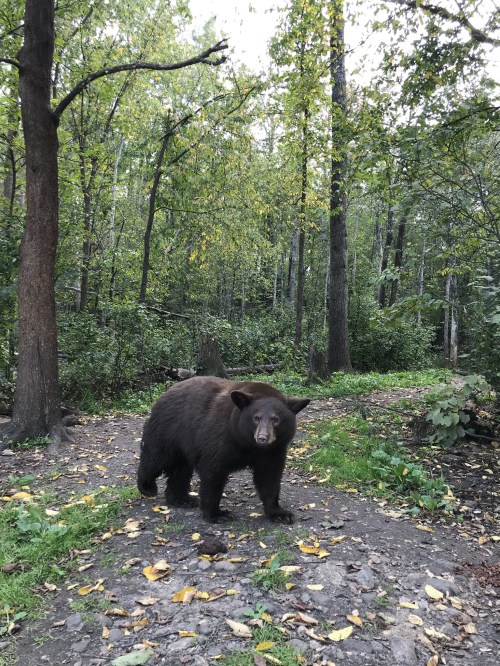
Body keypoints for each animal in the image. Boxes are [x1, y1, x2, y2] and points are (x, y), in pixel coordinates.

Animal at [137, 376, 310, 523]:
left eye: (276, 419)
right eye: (256, 418)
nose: (262, 438)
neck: (248, 443)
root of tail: (166, 392)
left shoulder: (273, 451)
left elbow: (269, 477)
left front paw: (280, 513)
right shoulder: (221, 438)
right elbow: (213, 472)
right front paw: (216, 514)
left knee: (182, 470)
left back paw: (181, 499)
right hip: (168, 430)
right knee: (156, 458)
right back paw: (147, 487)